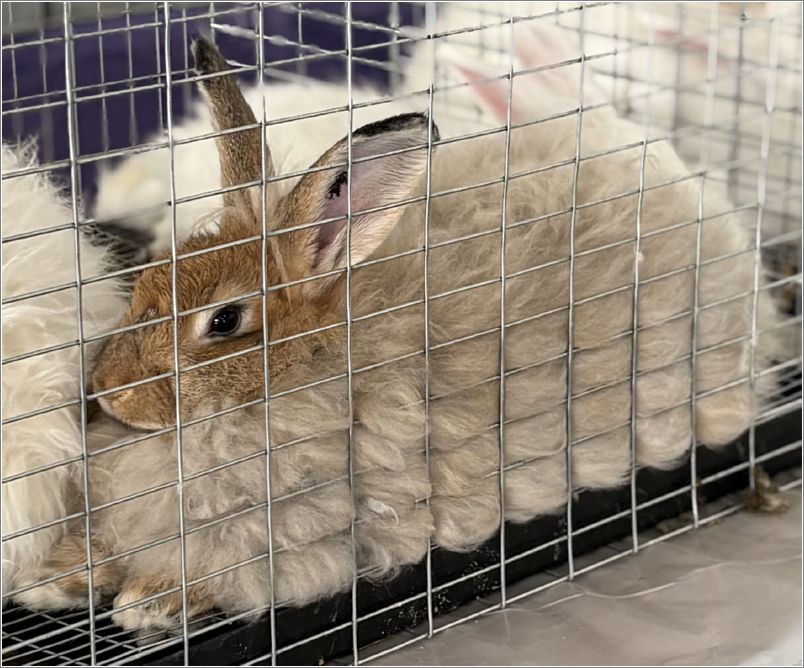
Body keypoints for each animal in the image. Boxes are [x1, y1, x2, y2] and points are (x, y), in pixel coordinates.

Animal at [22, 24, 782, 638]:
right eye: (150, 277)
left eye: (226, 321)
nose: (108, 391)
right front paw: (55, 578)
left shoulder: (302, 545)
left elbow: (226, 579)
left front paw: (148, 601)